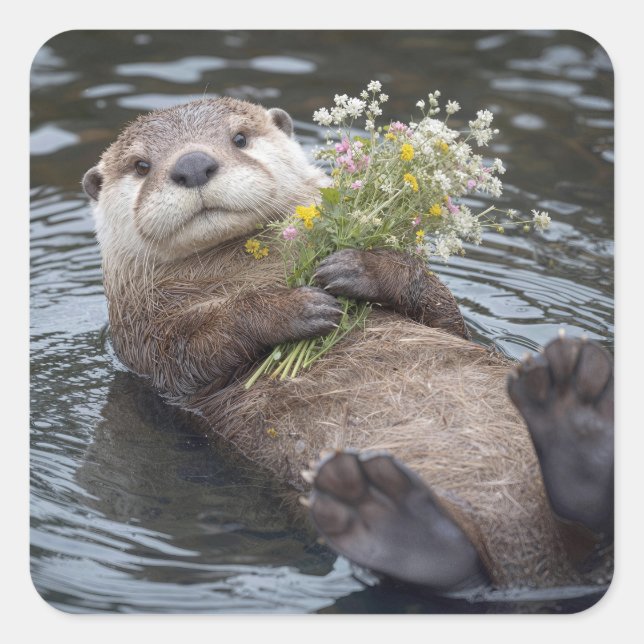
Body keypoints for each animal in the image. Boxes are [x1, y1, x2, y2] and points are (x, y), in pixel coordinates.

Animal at [83, 97, 613, 594]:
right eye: (141, 165)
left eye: (239, 138)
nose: (193, 164)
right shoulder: (143, 337)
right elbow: (193, 349)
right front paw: (293, 307)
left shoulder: (449, 319)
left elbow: (444, 311)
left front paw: (357, 266)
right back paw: (385, 510)